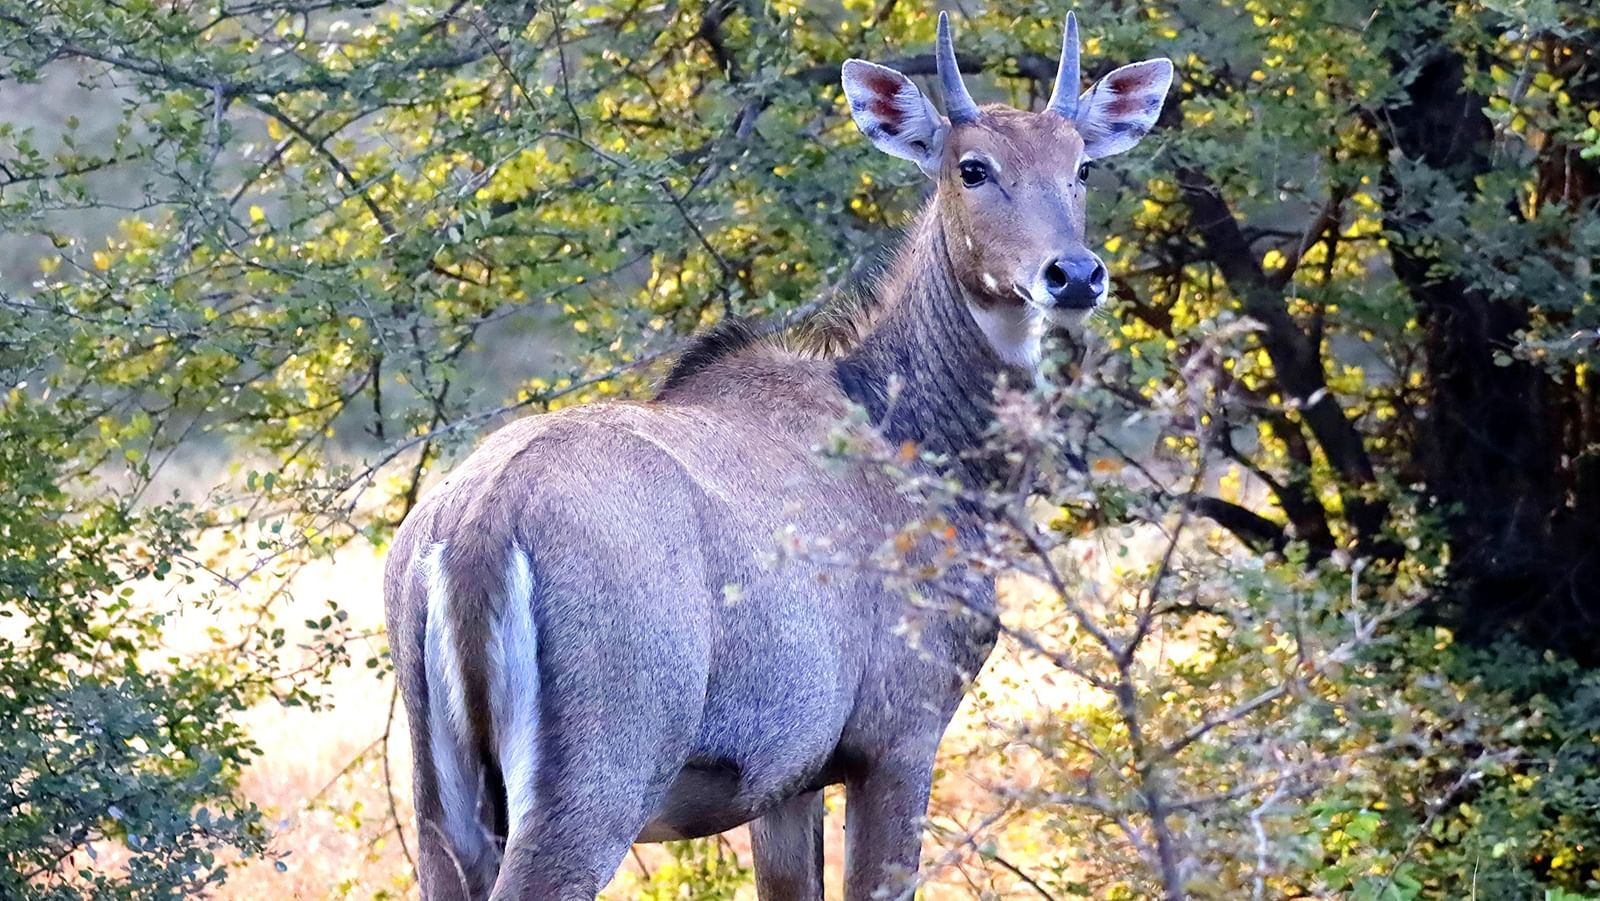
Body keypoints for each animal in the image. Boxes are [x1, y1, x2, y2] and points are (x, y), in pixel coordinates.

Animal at [384, 12, 1171, 900]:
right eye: (972, 167)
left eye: (1081, 167)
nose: (1072, 274)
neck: (912, 436)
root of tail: (474, 528)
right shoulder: (897, 739)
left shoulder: (787, 780)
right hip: (591, 787)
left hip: (445, 810)